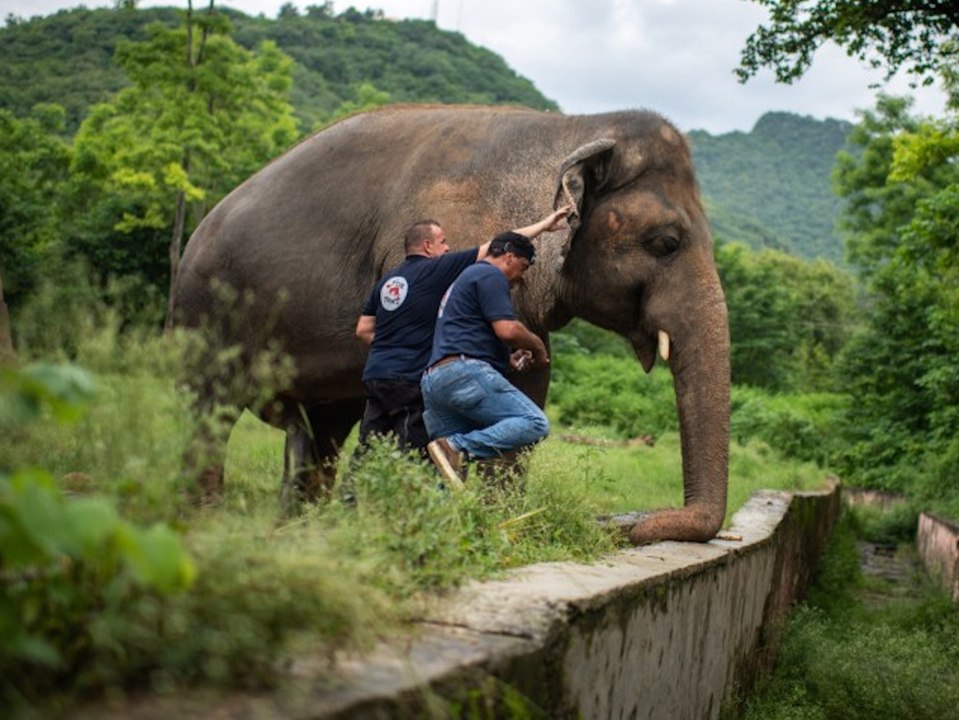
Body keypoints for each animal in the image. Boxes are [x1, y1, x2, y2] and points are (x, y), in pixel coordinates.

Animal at [170, 104, 730, 545]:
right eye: (665, 243)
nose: (629, 525)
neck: (577, 127)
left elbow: (530, 381)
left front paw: (501, 523)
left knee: (321, 430)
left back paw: (298, 529)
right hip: (202, 311)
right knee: (212, 408)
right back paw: (206, 522)